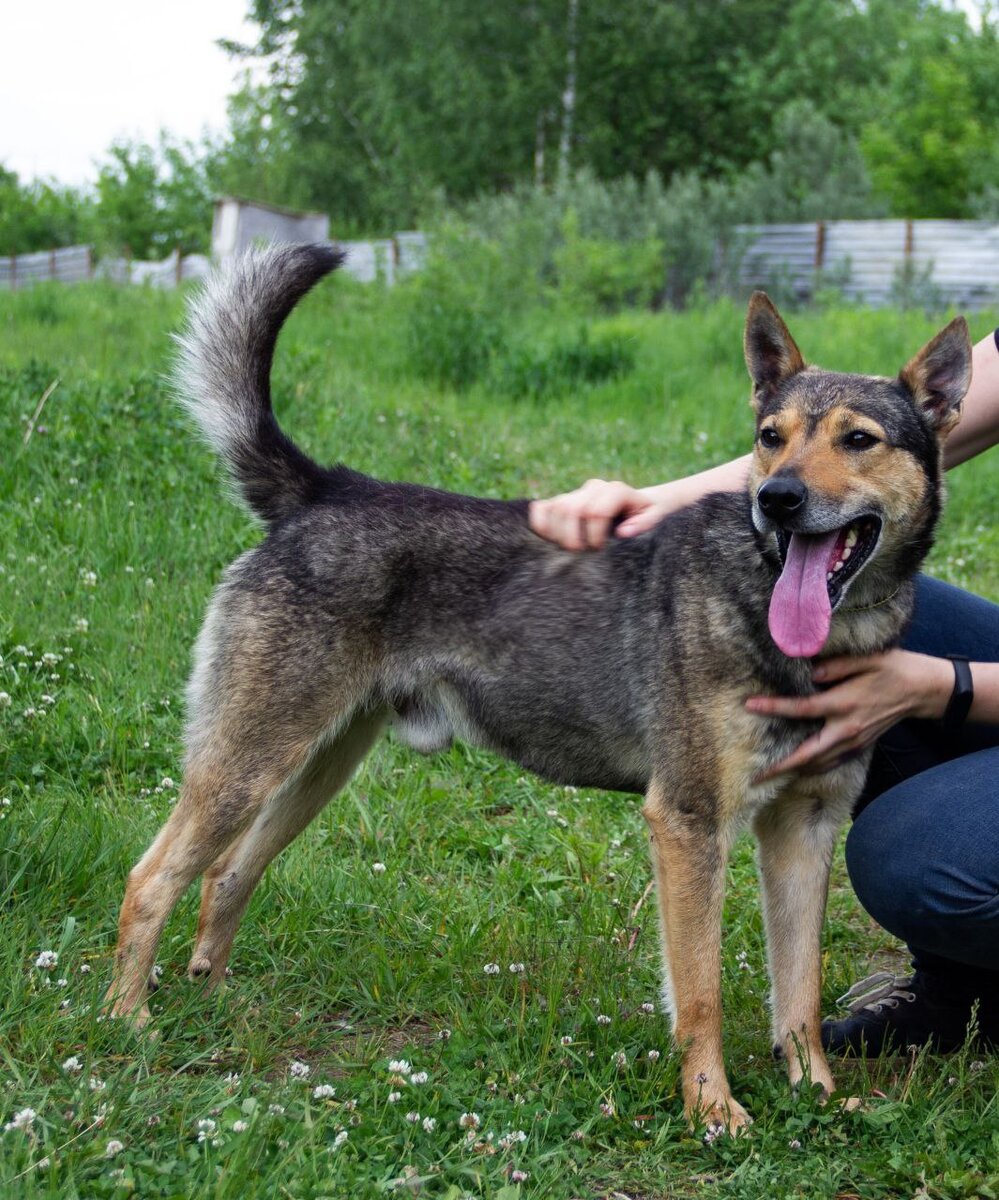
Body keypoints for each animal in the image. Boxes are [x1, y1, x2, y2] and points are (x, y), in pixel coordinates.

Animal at [105, 246, 970, 1132]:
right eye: (771, 438)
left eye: (858, 440)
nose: (777, 498)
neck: (793, 619)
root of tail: (328, 489)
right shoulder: (689, 823)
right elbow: (700, 994)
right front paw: (711, 1110)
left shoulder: (803, 827)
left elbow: (796, 993)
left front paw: (816, 1096)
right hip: (246, 765)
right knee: (150, 880)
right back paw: (127, 1021)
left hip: (314, 767)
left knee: (225, 875)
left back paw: (213, 996)